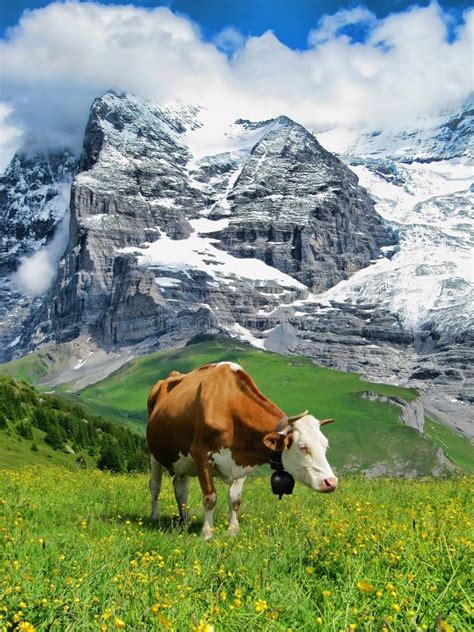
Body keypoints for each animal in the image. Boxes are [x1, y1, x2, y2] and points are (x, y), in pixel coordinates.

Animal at [147, 360, 336, 540]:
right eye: (303, 446)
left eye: (325, 445)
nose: (332, 482)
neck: (229, 407)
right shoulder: (201, 454)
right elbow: (210, 497)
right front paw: (207, 533)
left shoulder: (242, 460)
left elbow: (235, 500)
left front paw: (233, 531)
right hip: (154, 454)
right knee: (155, 486)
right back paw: (154, 517)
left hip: (182, 461)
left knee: (180, 487)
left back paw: (185, 521)